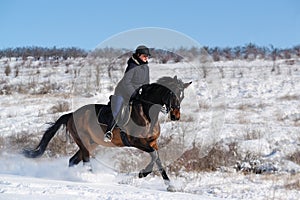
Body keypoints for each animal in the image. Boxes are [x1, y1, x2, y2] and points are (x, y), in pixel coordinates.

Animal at [23, 76, 192, 191]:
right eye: (172, 94)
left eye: (182, 96)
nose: (176, 116)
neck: (147, 114)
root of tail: (71, 114)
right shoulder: (136, 142)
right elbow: (155, 156)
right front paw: (140, 175)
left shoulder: (152, 143)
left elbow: (157, 160)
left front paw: (168, 185)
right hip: (84, 142)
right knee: (85, 160)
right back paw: (90, 178)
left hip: (91, 143)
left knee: (73, 160)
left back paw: (71, 177)